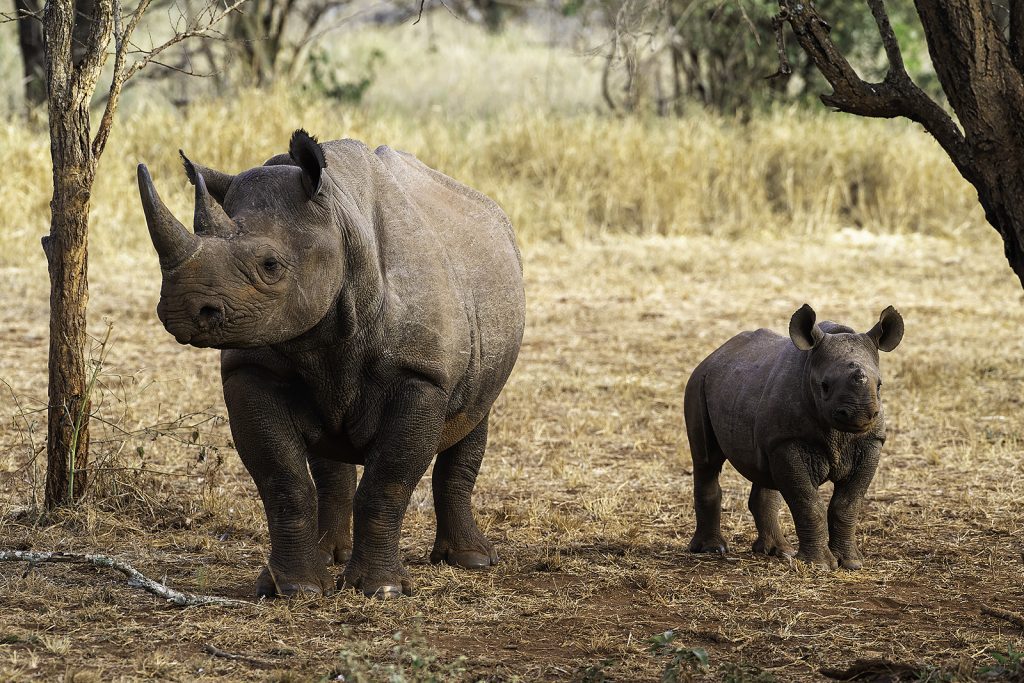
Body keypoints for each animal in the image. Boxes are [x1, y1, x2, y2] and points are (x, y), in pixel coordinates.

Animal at [140, 129, 524, 598]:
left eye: (270, 266)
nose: (184, 310)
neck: (338, 220)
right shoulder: (251, 369)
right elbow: (283, 480)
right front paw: (293, 589)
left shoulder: (422, 375)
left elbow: (388, 482)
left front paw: (381, 590)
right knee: (328, 448)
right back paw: (328, 557)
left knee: (473, 417)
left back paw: (472, 561)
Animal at [684, 307, 901, 569]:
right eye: (824, 386)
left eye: (879, 385)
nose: (859, 414)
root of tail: (714, 354)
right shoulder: (786, 442)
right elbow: (808, 502)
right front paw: (819, 566)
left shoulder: (872, 442)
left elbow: (848, 502)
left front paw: (850, 563)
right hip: (699, 381)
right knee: (707, 461)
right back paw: (712, 549)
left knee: (763, 471)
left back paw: (779, 551)